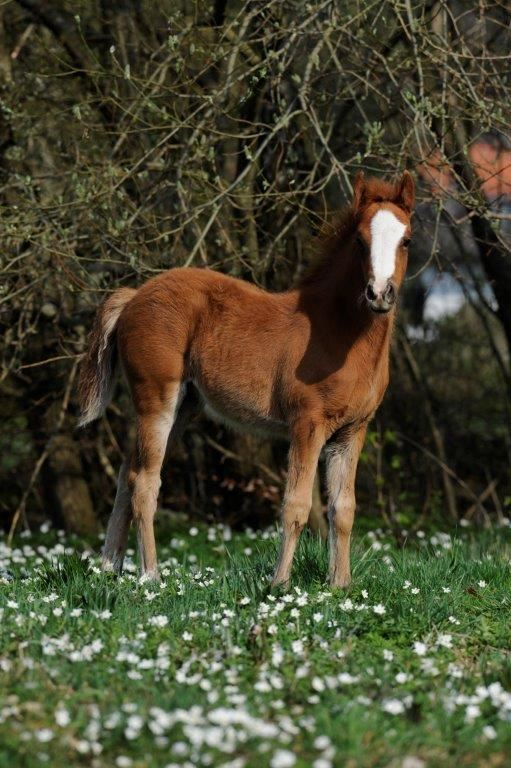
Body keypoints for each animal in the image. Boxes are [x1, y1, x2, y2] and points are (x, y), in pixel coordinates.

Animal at [78, 170, 415, 588]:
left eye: (406, 239)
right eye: (360, 240)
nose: (379, 294)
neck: (339, 334)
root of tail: (134, 295)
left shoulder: (352, 431)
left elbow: (344, 509)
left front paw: (340, 586)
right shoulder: (307, 424)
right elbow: (297, 505)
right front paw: (280, 584)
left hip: (183, 406)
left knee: (127, 473)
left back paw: (109, 567)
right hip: (156, 398)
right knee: (144, 482)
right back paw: (151, 576)